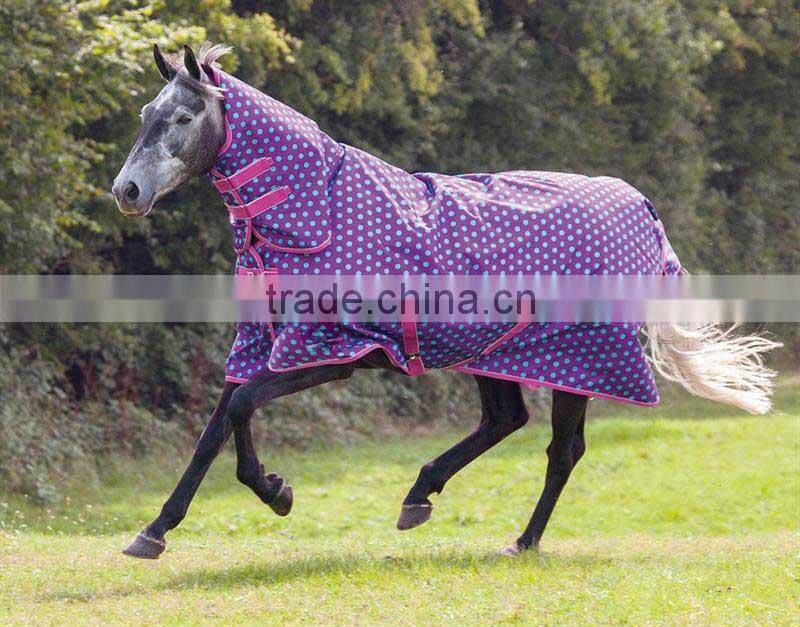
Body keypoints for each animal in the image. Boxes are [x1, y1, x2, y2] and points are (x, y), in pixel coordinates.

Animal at [112, 43, 779, 560]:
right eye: (147, 112)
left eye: (183, 116)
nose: (127, 191)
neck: (318, 216)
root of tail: (642, 209)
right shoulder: (263, 348)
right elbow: (216, 426)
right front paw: (154, 531)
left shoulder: (335, 353)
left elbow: (242, 406)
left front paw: (276, 492)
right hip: (494, 354)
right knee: (505, 420)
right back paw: (419, 497)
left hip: (579, 360)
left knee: (562, 450)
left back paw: (521, 541)